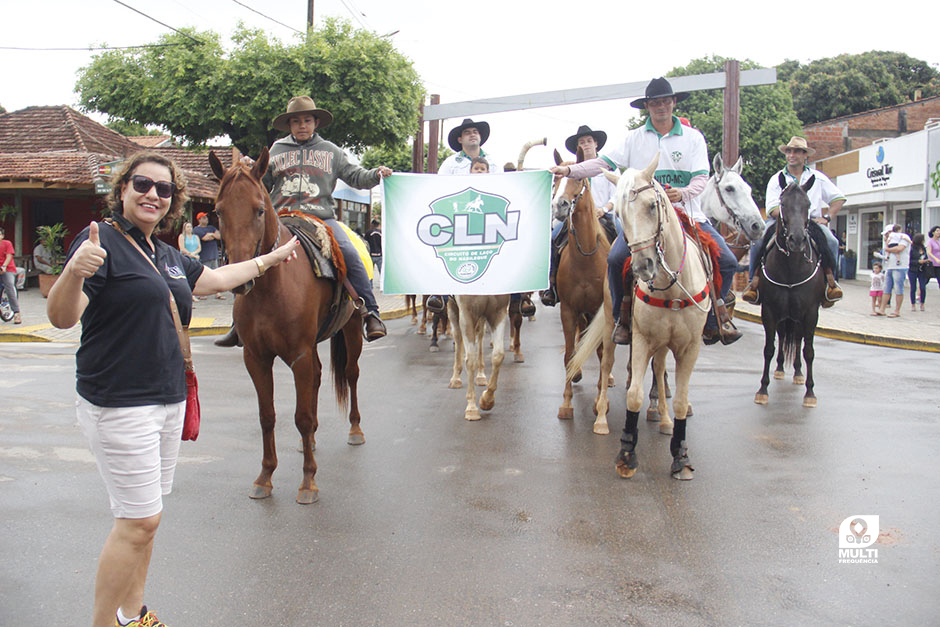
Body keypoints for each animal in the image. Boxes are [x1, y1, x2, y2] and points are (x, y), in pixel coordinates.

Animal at [208, 148, 364, 506]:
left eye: (259, 210)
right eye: (218, 211)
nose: (240, 279)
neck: (270, 288)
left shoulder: (299, 356)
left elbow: (301, 416)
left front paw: (308, 482)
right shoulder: (256, 358)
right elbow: (267, 416)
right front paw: (265, 476)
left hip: (352, 329)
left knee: (351, 374)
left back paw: (354, 430)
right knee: (319, 376)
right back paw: (315, 442)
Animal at [564, 156, 704, 480]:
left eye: (653, 205)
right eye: (621, 214)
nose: (642, 266)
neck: (671, 287)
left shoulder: (689, 348)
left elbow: (680, 401)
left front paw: (680, 455)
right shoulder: (640, 339)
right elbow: (634, 395)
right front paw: (626, 454)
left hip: (664, 345)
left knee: (660, 369)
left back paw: (663, 418)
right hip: (610, 326)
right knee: (606, 362)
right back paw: (601, 416)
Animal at [752, 175, 828, 408]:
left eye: (808, 205)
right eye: (783, 204)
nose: (797, 239)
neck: (791, 270)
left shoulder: (811, 313)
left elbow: (809, 351)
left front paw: (810, 393)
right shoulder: (769, 311)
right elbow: (769, 348)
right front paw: (763, 389)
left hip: (798, 318)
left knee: (799, 340)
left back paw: (798, 373)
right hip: (785, 316)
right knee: (784, 337)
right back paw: (779, 369)